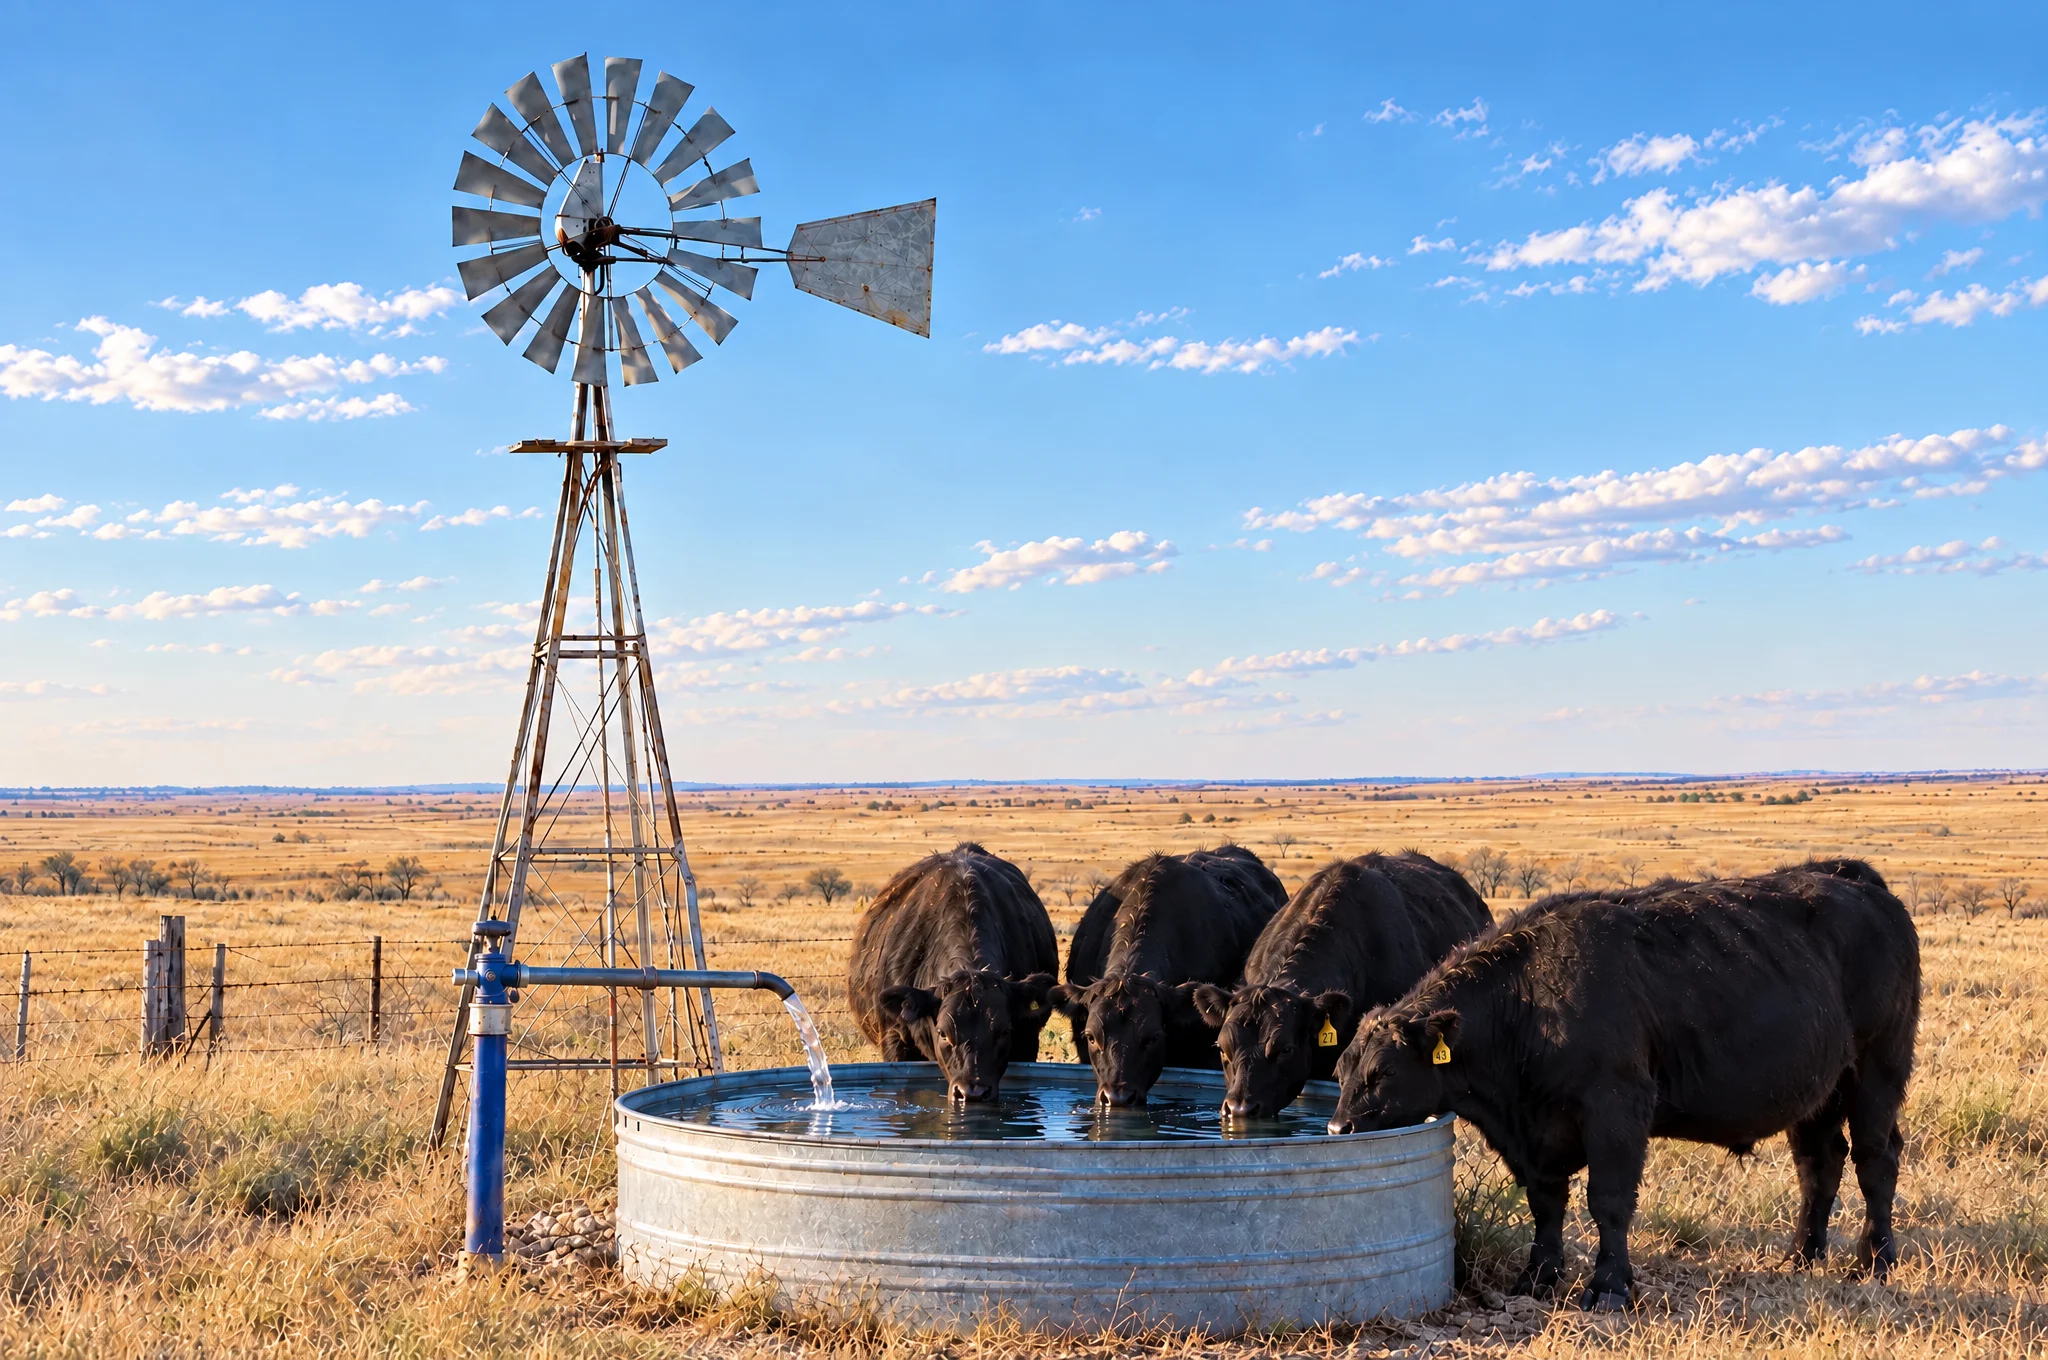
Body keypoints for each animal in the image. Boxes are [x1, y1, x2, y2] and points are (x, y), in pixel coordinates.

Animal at [1328, 860, 1920, 1311]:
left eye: (1384, 1072)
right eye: (1340, 1072)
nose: (1338, 1128)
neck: (1528, 998)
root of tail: (1858, 882)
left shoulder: (1616, 1110)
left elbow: (1608, 1201)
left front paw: (1609, 1287)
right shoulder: (1536, 1138)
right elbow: (1546, 1205)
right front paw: (1538, 1277)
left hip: (1878, 1071)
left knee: (1875, 1159)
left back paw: (1874, 1260)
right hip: (1818, 1095)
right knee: (1820, 1164)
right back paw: (1801, 1255)